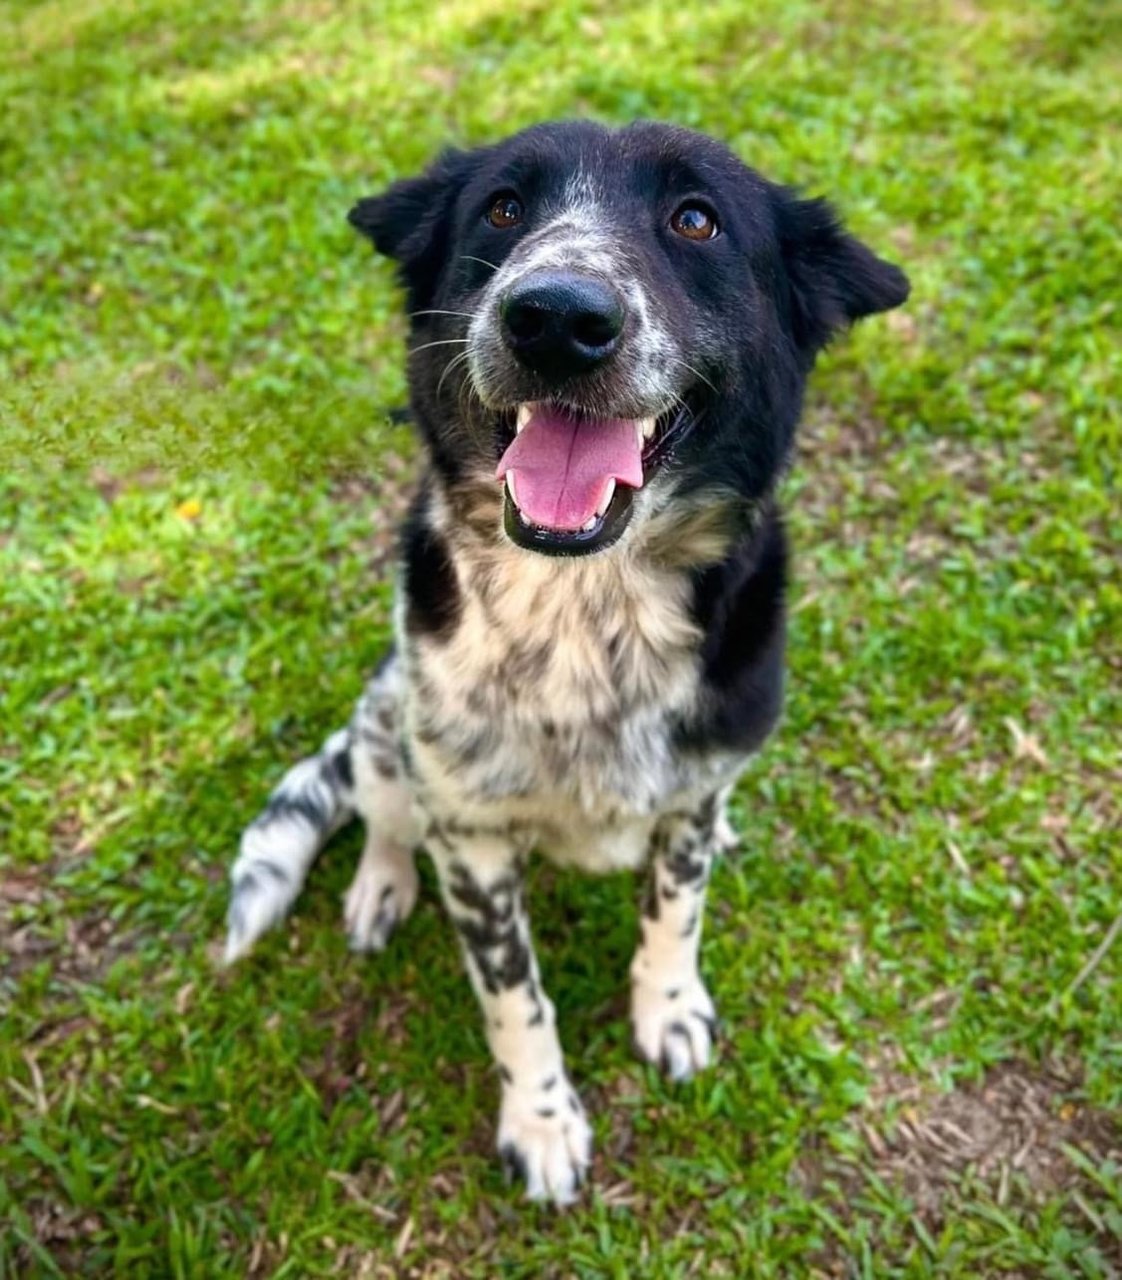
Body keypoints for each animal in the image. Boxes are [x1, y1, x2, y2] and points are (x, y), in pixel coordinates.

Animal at [223, 117, 905, 1198]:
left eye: (696, 219)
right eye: (504, 208)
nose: (554, 316)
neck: (587, 609)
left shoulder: (694, 782)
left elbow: (676, 907)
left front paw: (669, 1006)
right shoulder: (471, 842)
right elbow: (516, 998)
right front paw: (541, 1122)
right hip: (388, 717)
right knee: (383, 803)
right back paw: (380, 884)